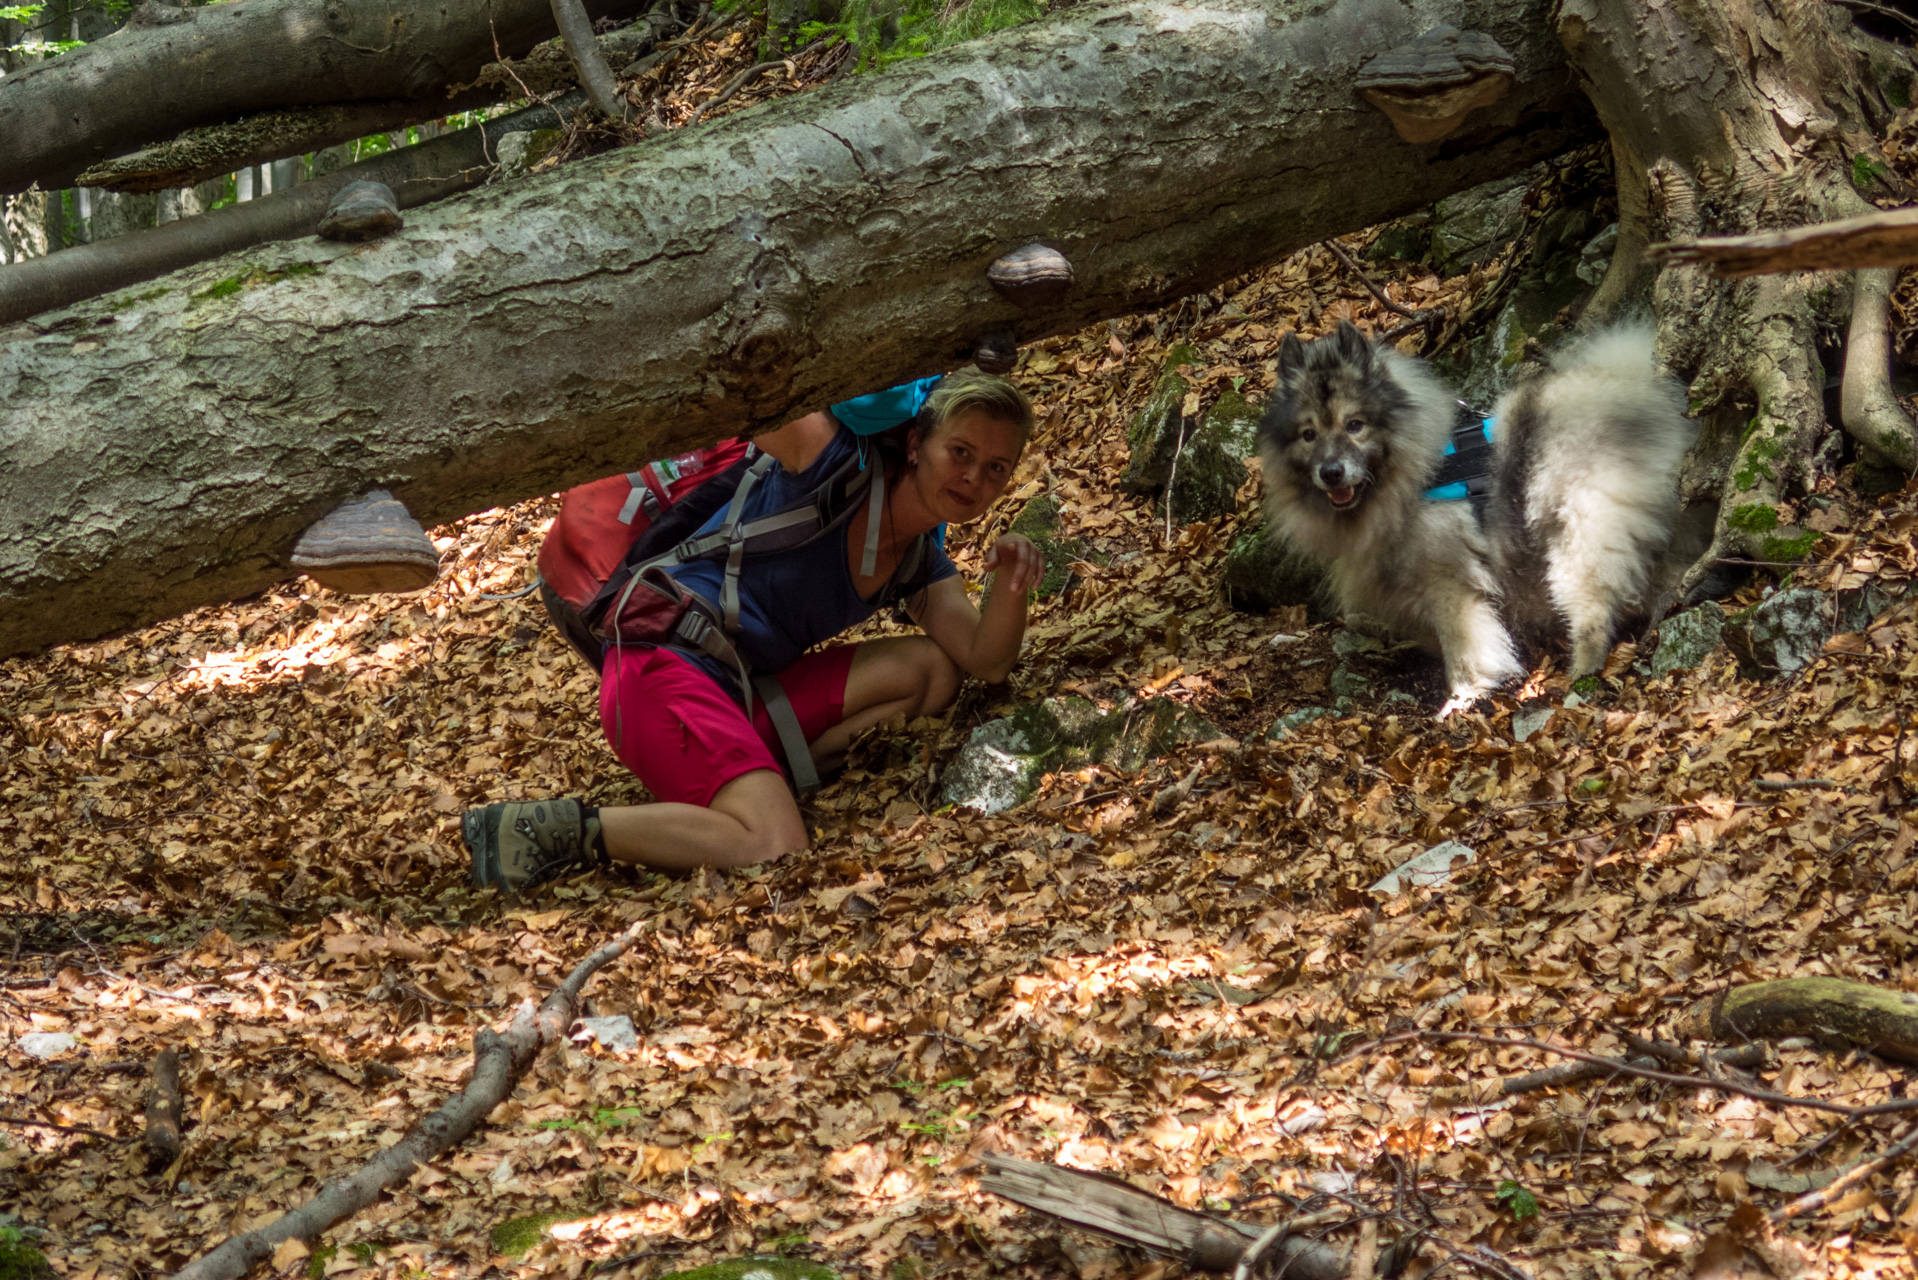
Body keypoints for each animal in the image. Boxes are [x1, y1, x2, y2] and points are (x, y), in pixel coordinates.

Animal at [1258, 318, 1695, 710]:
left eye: (1355, 425)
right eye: (1308, 435)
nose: (1331, 472)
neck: (1410, 471)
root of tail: (1641, 396)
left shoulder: (1451, 585)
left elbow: (1464, 650)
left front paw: (1461, 700)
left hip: (1578, 538)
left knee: (1592, 612)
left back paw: (1580, 674)